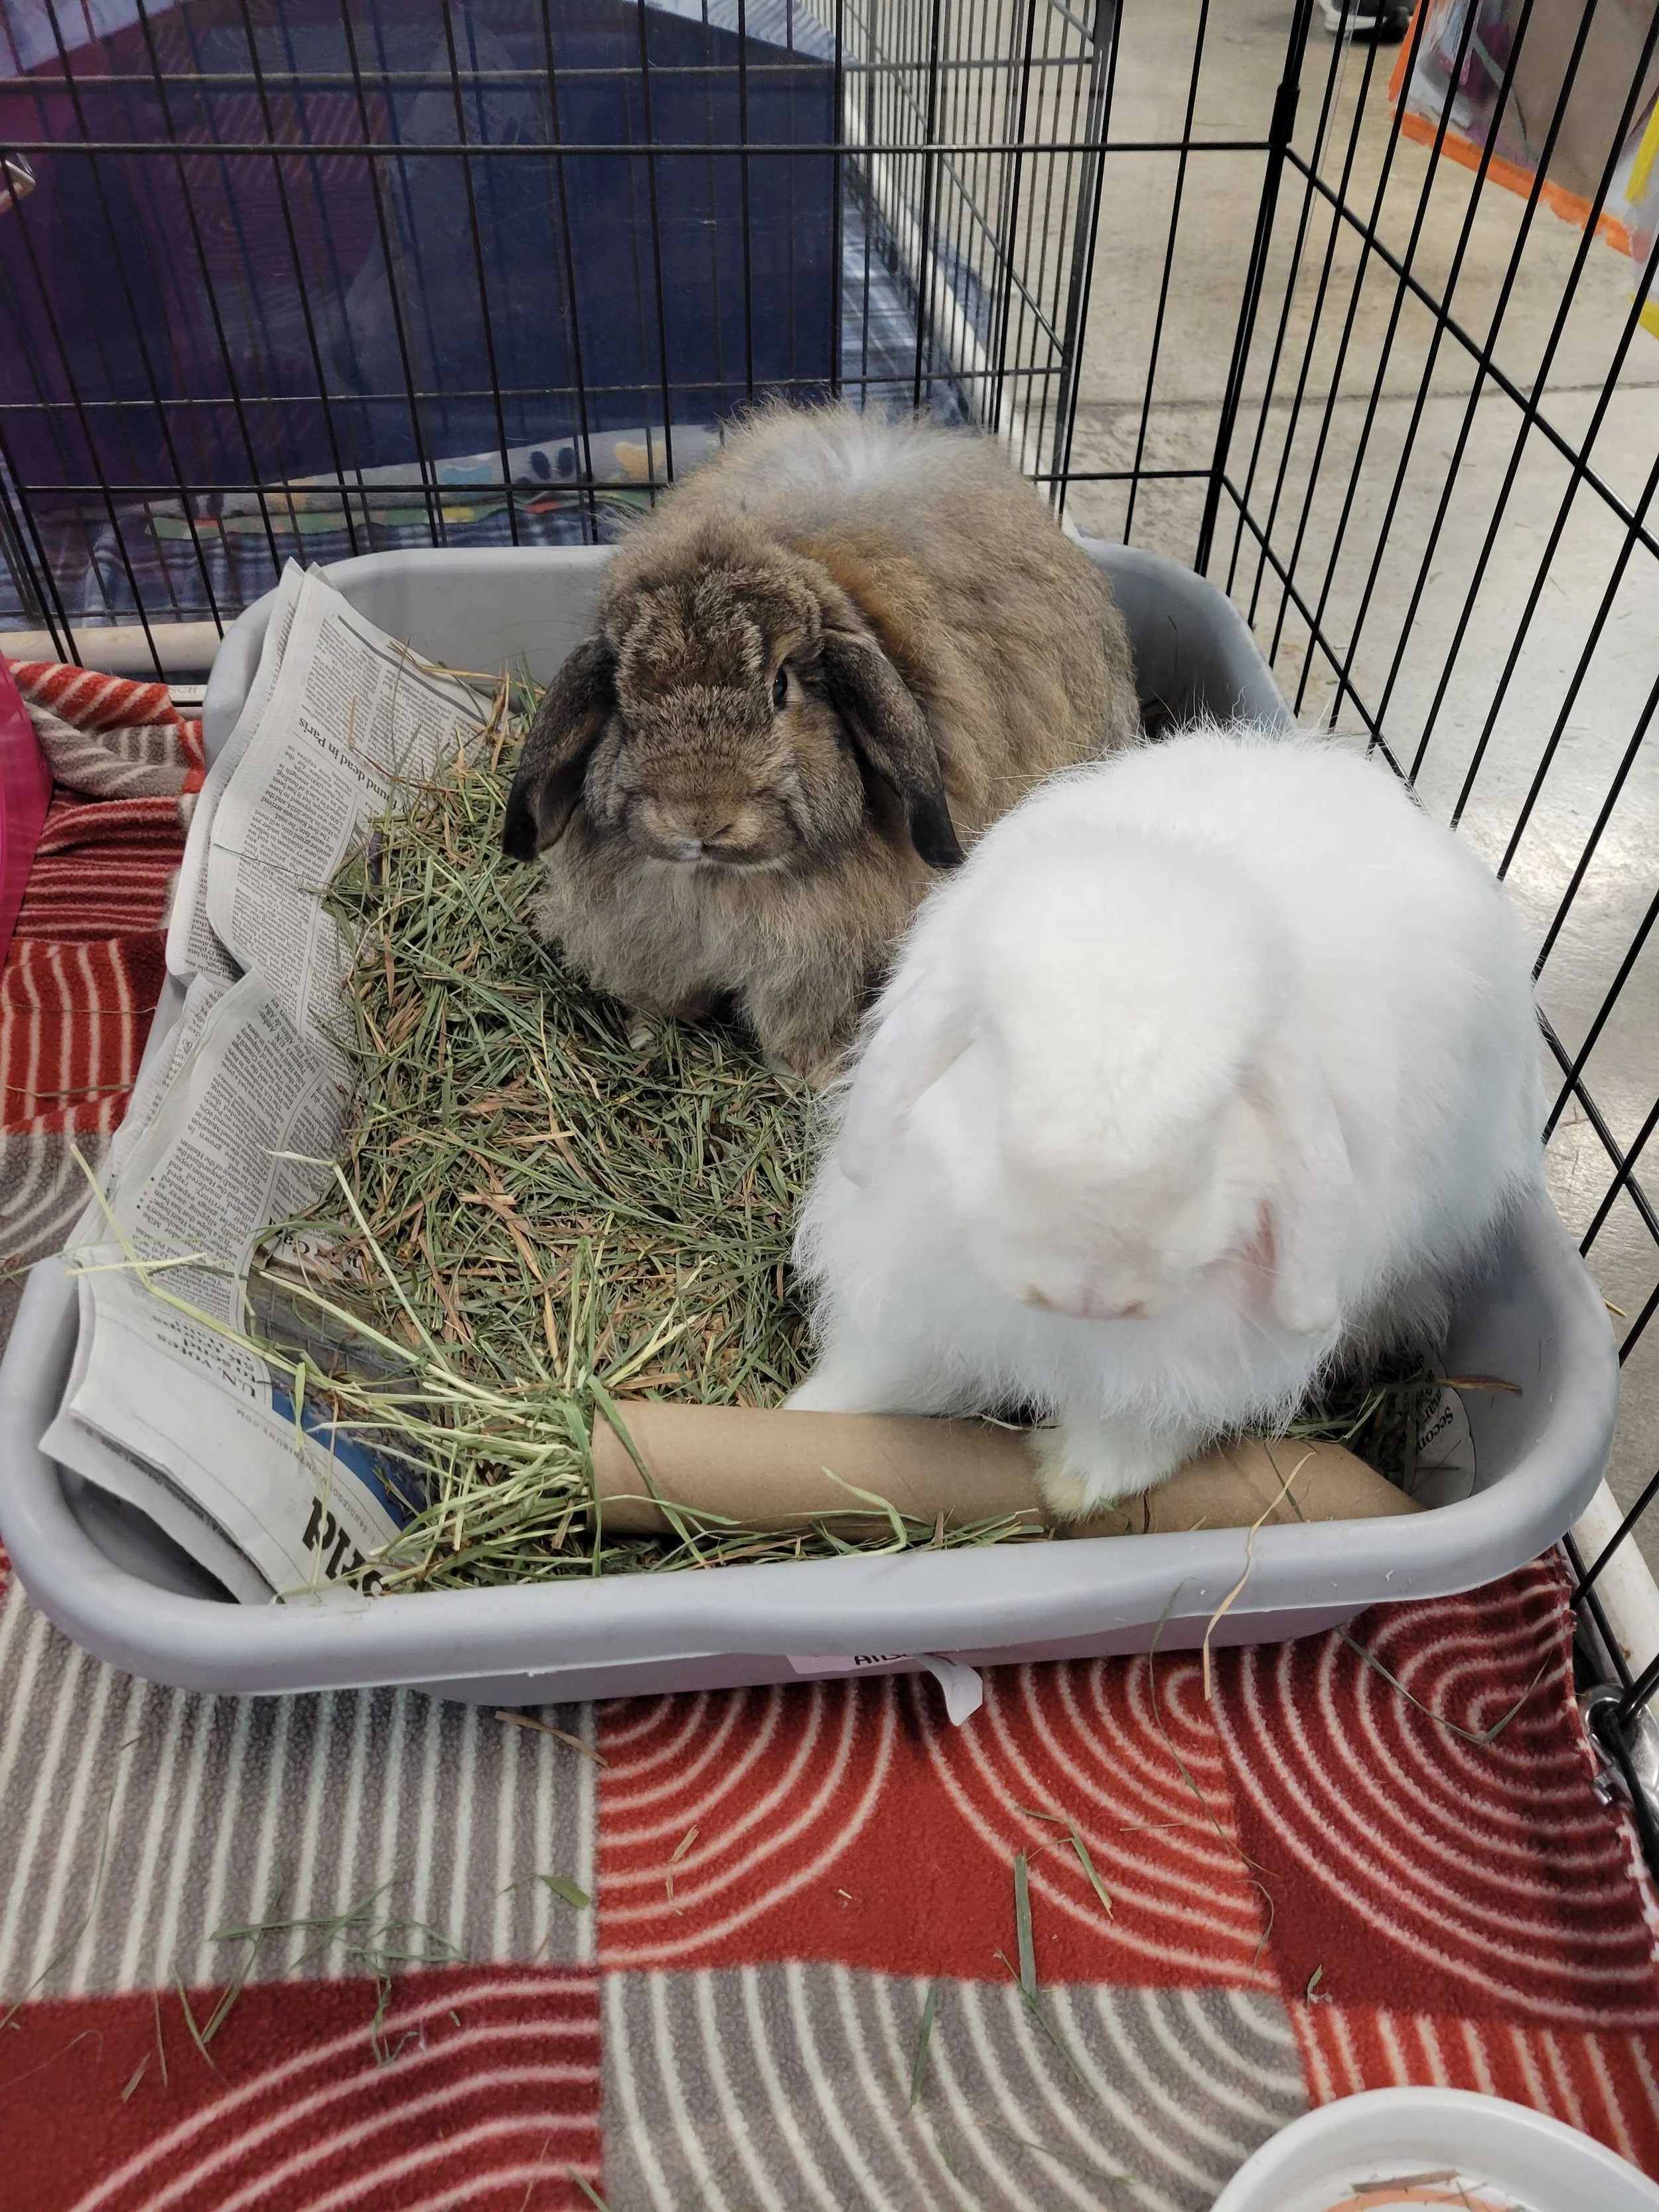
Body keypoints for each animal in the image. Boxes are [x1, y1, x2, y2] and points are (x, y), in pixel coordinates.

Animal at [501, 401, 1139, 1083]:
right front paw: (647, 1034)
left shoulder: (817, 970)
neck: (721, 884)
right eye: (623, 699)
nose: (699, 817)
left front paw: (806, 1075)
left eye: (782, 685)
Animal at [787, 724, 1546, 1513]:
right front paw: (809, 1416)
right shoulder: (918, 1299)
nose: (1087, 1290)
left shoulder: (1201, 1370)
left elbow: (1140, 1429)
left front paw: (1074, 1484)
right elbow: (887, 1369)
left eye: (1226, 1101)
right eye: (996, 1049)